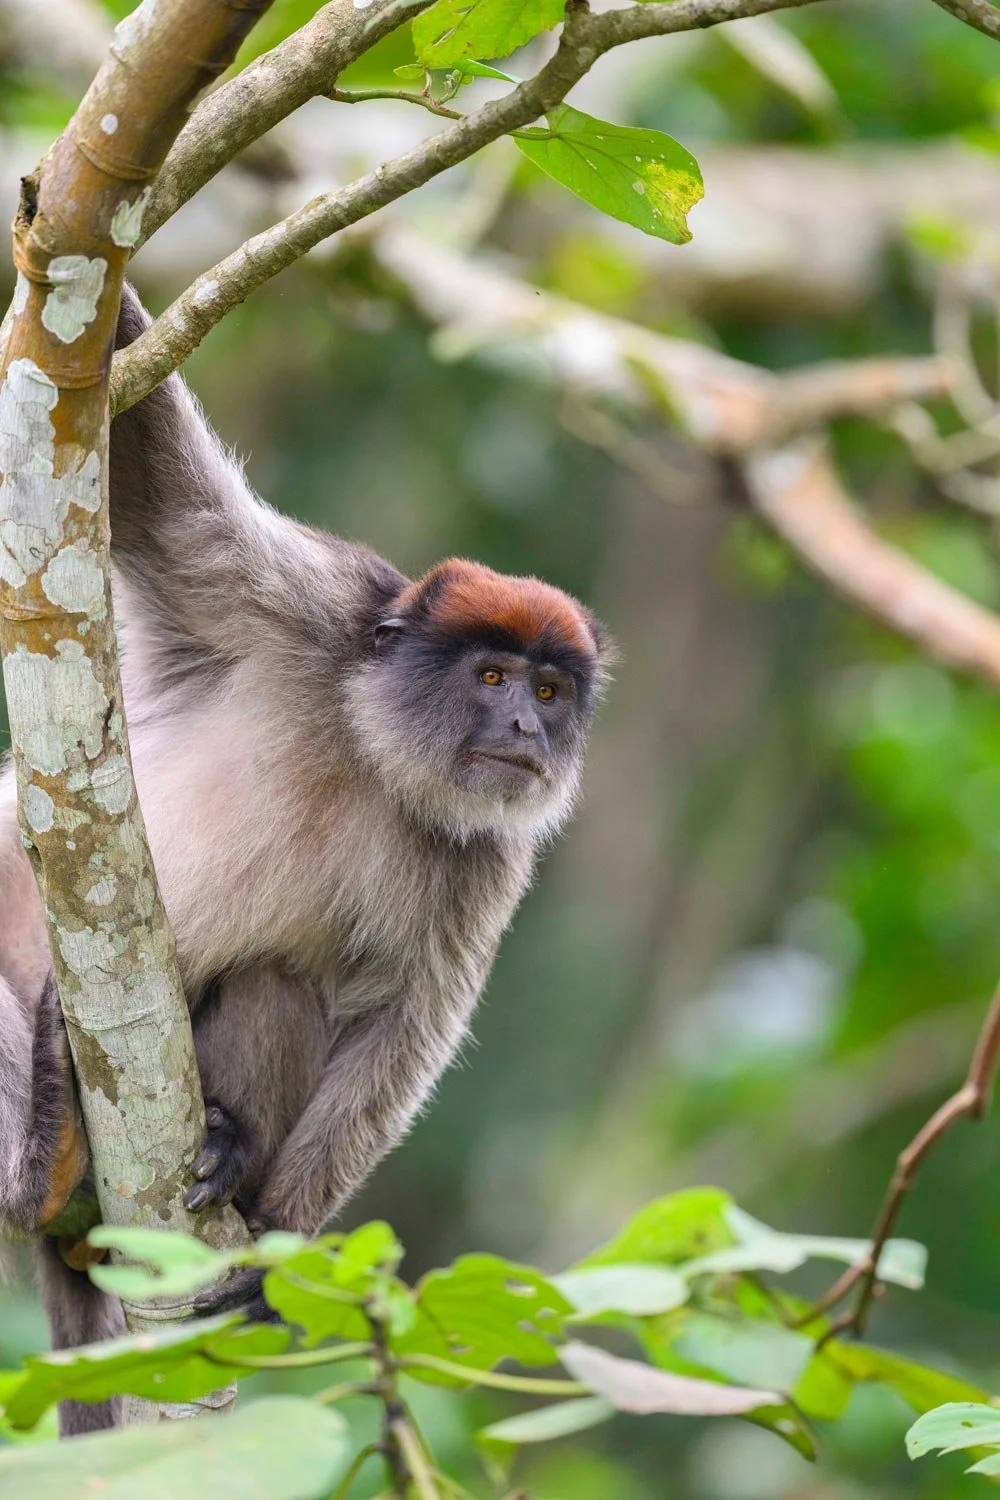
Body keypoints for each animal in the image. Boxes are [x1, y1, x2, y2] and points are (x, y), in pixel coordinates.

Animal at [0, 284, 611, 1433]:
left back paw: (212, 1156)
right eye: (494, 676)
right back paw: (39, 1161)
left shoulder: (487, 858)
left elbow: (403, 1026)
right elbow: (167, 505)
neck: (376, 751)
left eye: (550, 692)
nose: (527, 729)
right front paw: (99, 288)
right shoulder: (316, 606)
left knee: (275, 984)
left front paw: (274, 1261)